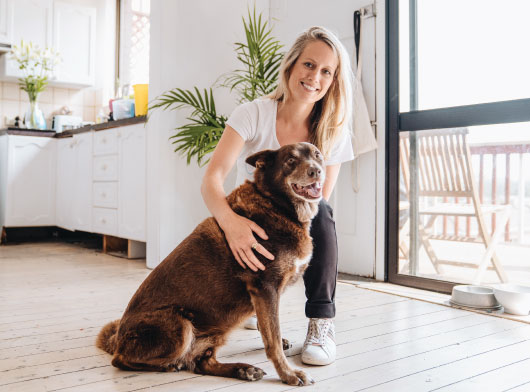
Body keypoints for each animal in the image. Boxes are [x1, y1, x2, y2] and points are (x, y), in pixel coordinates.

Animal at [97, 142, 324, 386]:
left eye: (317, 156)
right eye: (291, 160)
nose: (317, 171)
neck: (275, 204)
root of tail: (117, 339)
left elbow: (269, 330)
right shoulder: (265, 288)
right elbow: (272, 338)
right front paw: (289, 374)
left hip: (218, 327)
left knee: (202, 363)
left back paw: (243, 370)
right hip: (181, 325)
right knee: (120, 360)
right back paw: (169, 365)